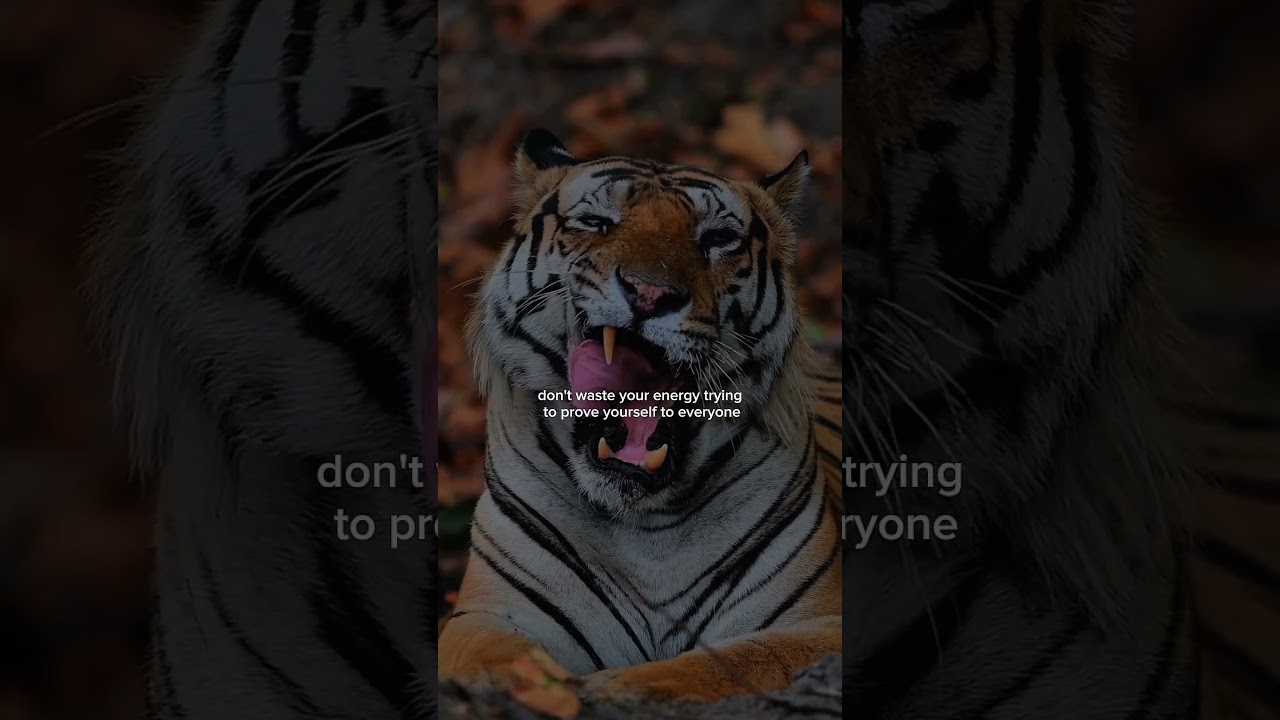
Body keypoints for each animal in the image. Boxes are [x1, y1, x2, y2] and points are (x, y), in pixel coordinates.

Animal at [437, 128, 843, 703]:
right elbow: (505, 658)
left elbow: (731, 662)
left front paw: (615, 687)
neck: (645, 528)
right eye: (596, 222)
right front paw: (544, 687)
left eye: (718, 238)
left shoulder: (821, 622)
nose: (651, 293)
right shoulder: (486, 614)